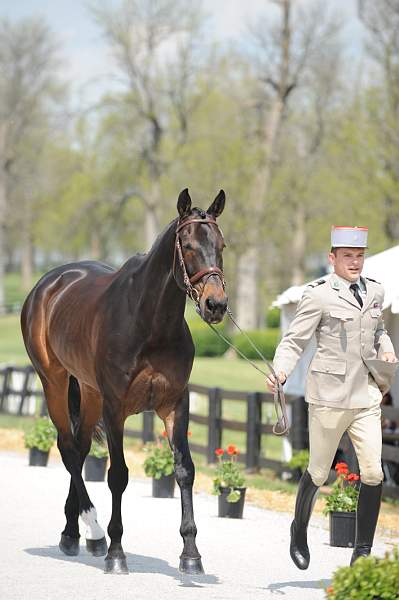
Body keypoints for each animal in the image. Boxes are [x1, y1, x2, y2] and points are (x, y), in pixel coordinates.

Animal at [21, 190, 228, 576]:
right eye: (189, 245)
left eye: (221, 245)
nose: (216, 304)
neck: (151, 324)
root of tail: (49, 283)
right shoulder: (115, 407)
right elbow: (117, 475)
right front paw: (116, 553)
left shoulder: (175, 405)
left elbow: (185, 471)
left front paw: (191, 553)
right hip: (54, 382)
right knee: (68, 449)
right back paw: (95, 531)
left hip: (89, 393)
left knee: (80, 449)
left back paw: (73, 534)